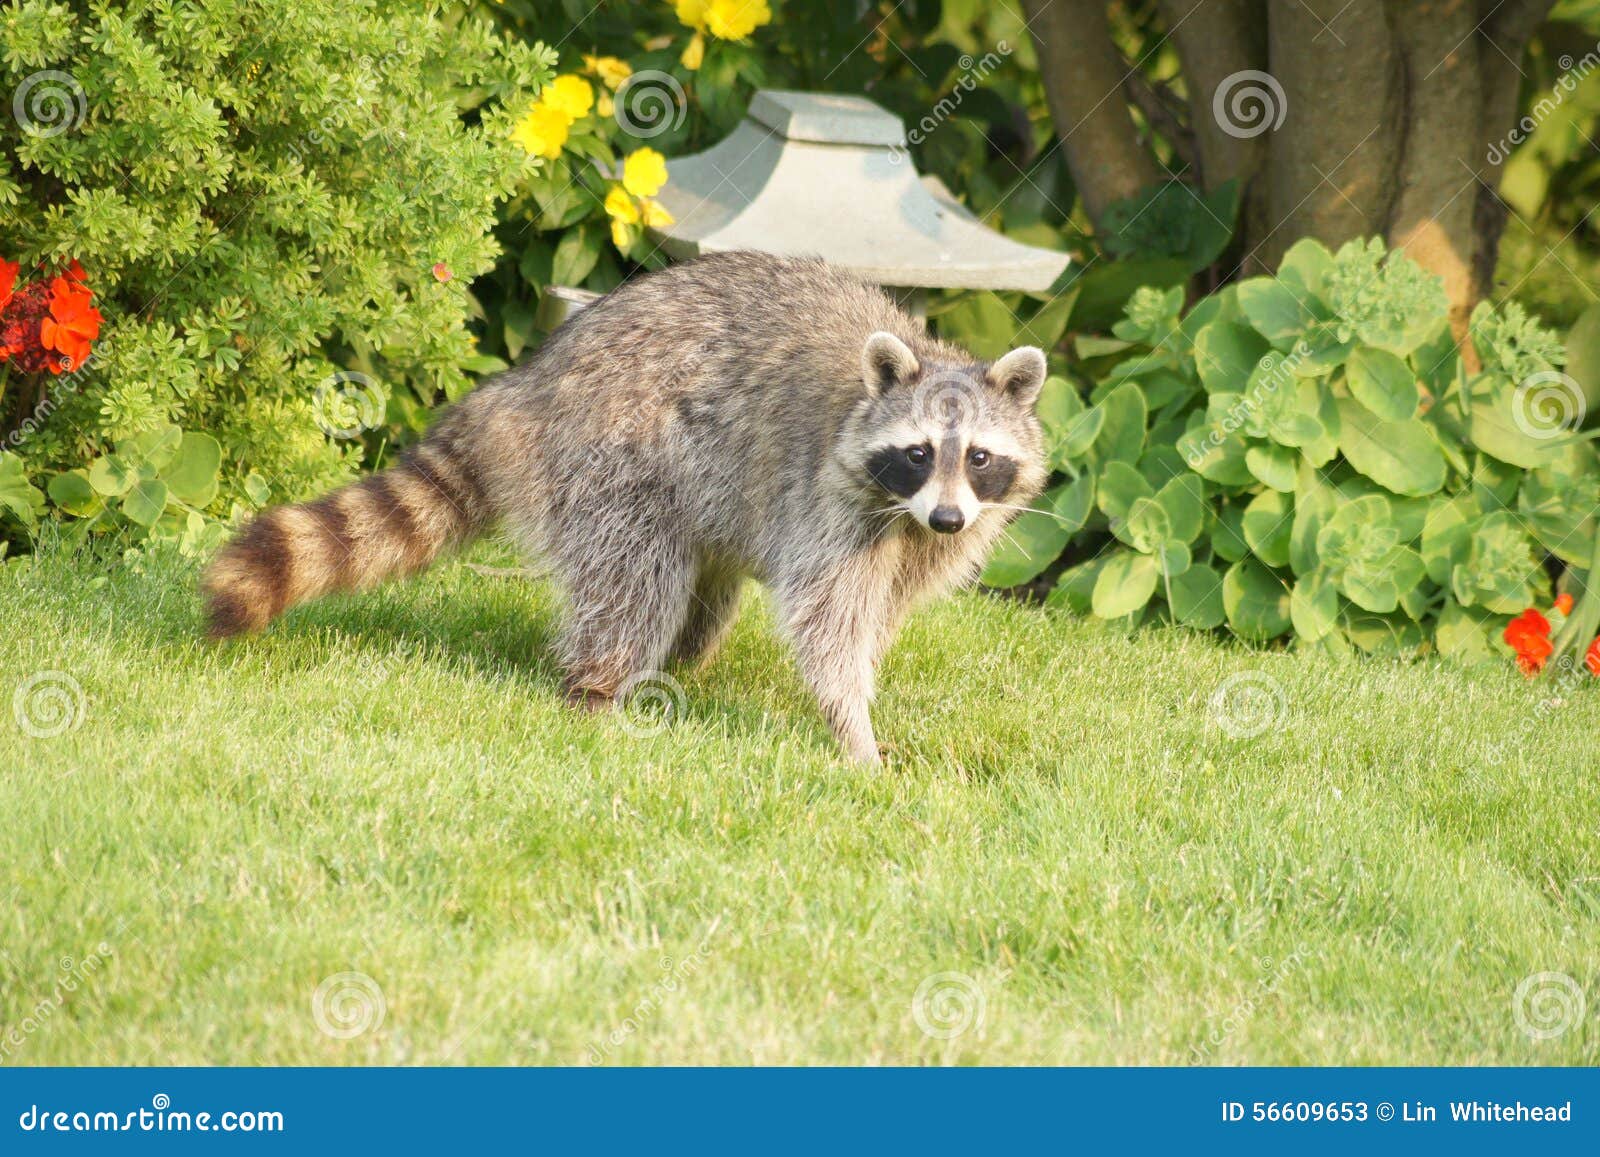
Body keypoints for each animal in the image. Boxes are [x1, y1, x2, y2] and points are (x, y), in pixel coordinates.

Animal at [203, 252, 1049, 763]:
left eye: (978, 456)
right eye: (918, 452)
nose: (947, 518)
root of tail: (530, 382)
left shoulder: (934, 530)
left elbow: (884, 606)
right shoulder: (828, 498)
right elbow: (827, 618)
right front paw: (855, 732)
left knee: (703, 591)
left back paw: (678, 662)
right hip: (611, 455)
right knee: (635, 579)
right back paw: (601, 687)